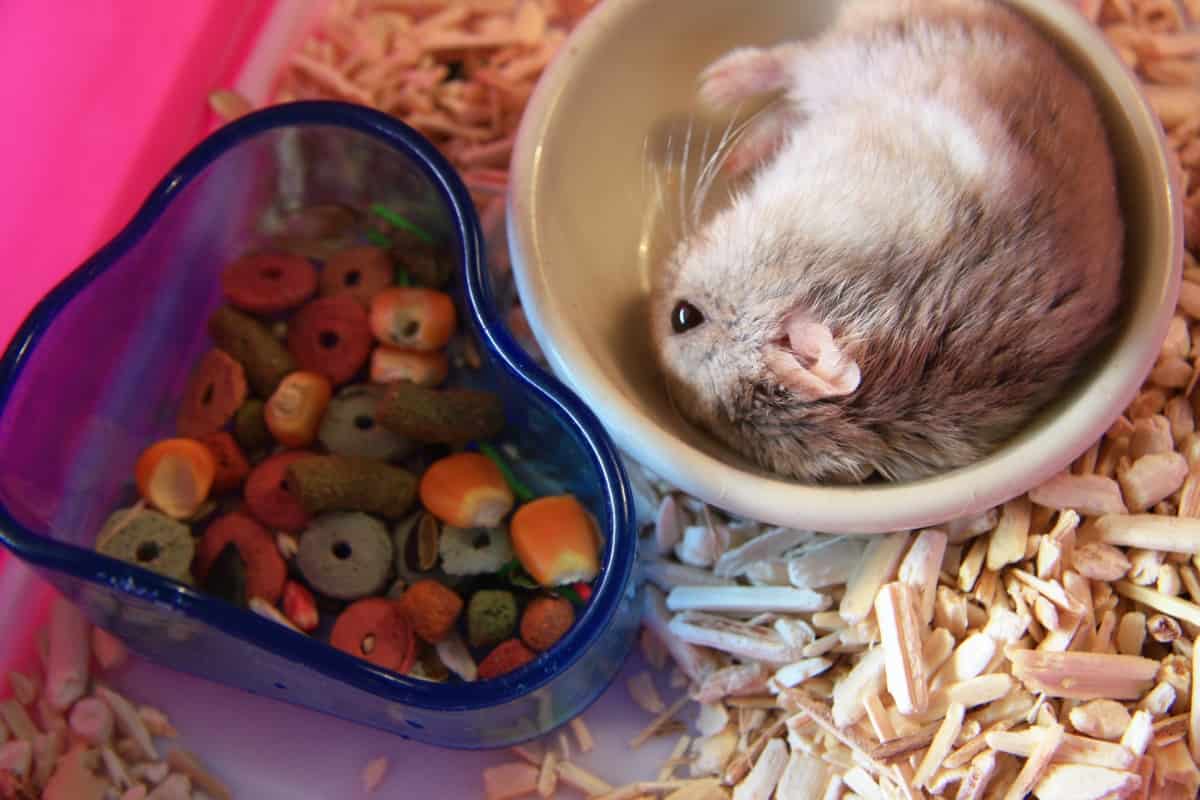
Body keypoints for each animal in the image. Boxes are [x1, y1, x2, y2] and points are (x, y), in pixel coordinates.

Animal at [649, 0, 1124, 484]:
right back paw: (727, 125)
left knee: (794, 63)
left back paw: (718, 93)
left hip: (861, 54)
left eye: (683, 317)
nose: (653, 289)